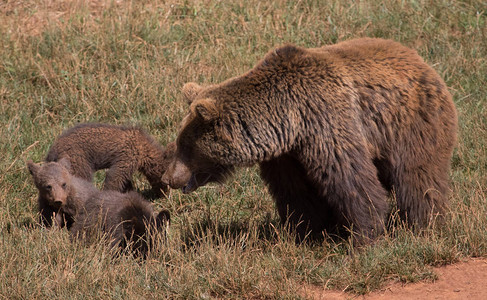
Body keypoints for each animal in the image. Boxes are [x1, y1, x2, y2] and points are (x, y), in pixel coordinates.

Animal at [163, 38, 458, 244]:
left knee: (417, 175)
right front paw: (305, 230)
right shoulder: (287, 155)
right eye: (178, 143)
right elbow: (296, 191)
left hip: (409, 123)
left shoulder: (326, 121)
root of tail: (421, 60)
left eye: (185, 146)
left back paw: (424, 224)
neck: (289, 120)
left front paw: (363, 235)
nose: (168, 177)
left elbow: (350, 179)